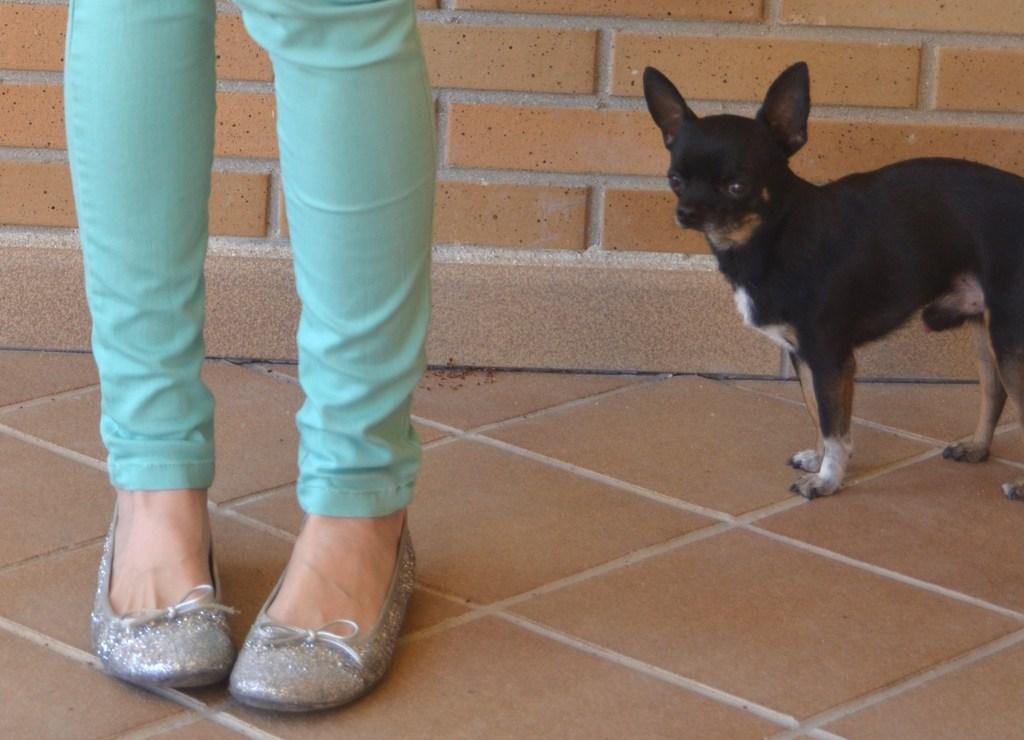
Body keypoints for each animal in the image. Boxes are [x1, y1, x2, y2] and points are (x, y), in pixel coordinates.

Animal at [643, 62, 1019, 497]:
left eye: (737, 186)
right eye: (675, 180)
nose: (686, 212)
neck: (776, 236)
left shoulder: (829, 358)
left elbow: (835, 426)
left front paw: (827, 479)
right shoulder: (805, 357)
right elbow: (816, 413)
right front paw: (820, 460)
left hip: (1011, 340)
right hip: (989, 337)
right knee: (994, 392)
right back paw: (976, 447)